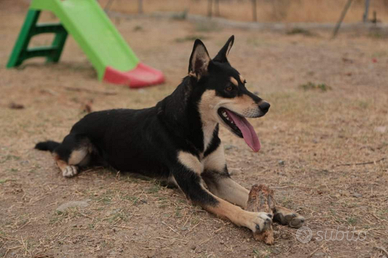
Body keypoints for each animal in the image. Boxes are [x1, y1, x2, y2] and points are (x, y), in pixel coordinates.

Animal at [35, 35, 304, 234]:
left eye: (244, 83)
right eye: (229, 88)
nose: (266, 106)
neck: (195, 129)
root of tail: (77, 123)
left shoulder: (218, 176)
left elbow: (245, 192)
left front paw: (284, 211)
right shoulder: (192, 184)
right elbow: (226, 205)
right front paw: (253, 218)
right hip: (79, 146)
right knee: (56, 152)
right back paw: (67, 168)